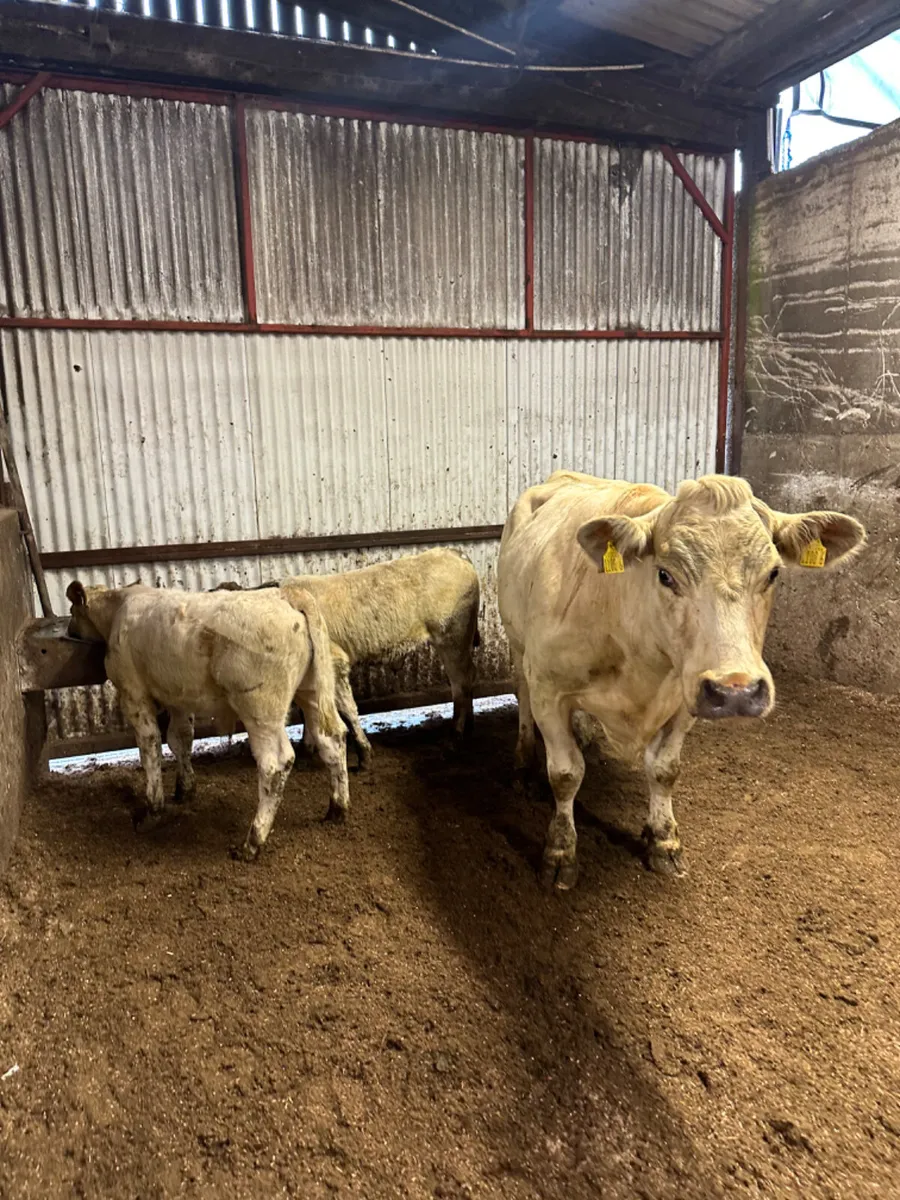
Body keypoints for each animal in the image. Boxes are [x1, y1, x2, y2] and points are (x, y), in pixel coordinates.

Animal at [66, 582, 350, 860]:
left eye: (72, 612)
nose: (69, 630)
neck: (118, 606)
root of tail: (285, 594)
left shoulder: (133, 693)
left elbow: (150, 747)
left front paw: (152, 810)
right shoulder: (178, 697)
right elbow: (180, 739)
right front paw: (185, 789)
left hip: (261, 708)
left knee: (275, 764)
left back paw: (252, 842)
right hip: (312, 690)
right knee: (332, 739)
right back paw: (337, 809)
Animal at [214, 548, 481, 769]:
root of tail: (452, 553)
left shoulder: (335, 662)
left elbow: (347, 709)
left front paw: (363, 754)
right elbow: (309, 710)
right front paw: (308, 747)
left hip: (452, 638)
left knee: (460, 683)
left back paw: (456, 737)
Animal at [497, 471, 866, 889]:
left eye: (773, 573)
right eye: (665, 574)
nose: (736, 690)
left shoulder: (685, 695)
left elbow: (664, 770)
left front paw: (663, 840)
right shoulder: (548, 687)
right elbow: (565, 773)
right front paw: (560, 851)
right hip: (517, 646)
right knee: (522, 697)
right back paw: (524, 761)